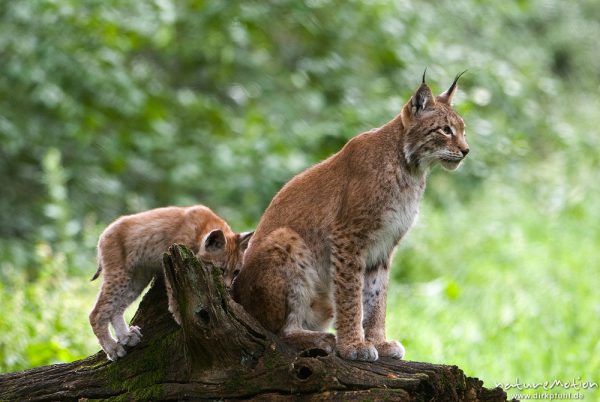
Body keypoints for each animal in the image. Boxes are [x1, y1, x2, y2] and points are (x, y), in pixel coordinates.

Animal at [90, 206, 252, 360]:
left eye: (236, 272)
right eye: (220, 270)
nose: (227, 287)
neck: (201, 232)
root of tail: (104, 232)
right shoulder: (170, 258)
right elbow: (173, 291)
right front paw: (181, 317)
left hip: (138, 277)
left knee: (116, 309)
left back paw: (125, 336)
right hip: (119, 273)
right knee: (96, 313)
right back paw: (112, 348)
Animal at [232, 72, 472, 362]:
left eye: (462, 129)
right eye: (445, 130)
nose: (466, 150)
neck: (410, 169)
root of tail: (235, 293)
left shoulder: (384, 243)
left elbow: (377, 296)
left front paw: (378, 341)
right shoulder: (347, 234)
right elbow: (351, 294)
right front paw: (353, 345)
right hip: (286, 237)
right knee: (275, 333)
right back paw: (321, 339)